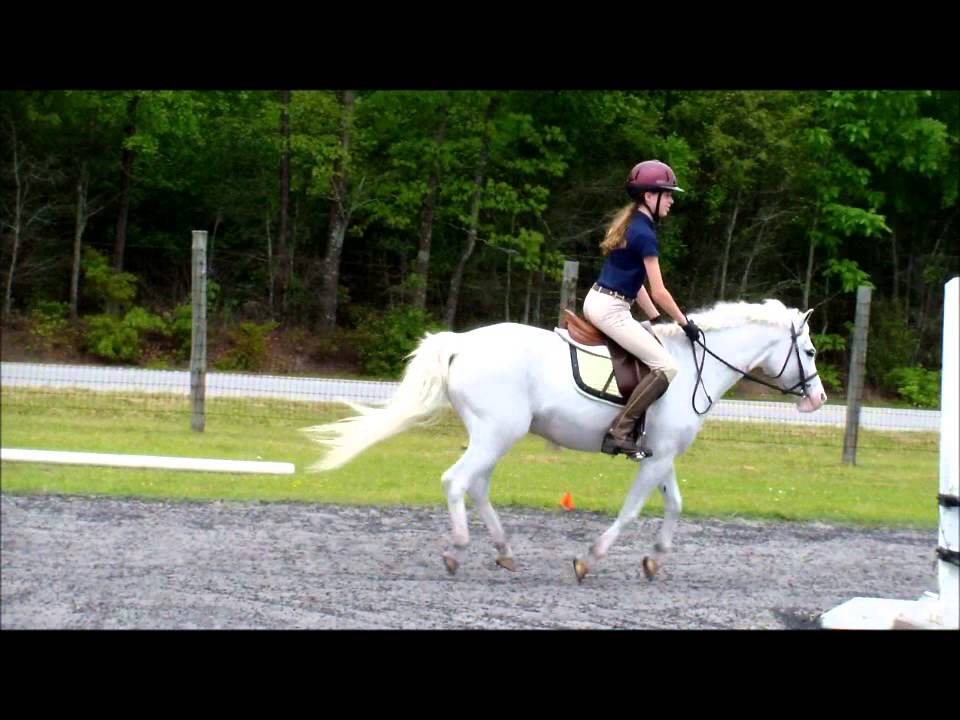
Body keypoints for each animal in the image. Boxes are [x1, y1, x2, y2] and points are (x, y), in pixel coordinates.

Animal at [302, 299, 827, 582]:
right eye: (808, 350)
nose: (818, 399)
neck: (694, 367)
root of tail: (462, 342)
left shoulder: (662, 455)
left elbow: (675, 504)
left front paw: (654, 560)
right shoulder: (656, 458)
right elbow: (632, 510)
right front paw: (588, 560)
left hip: (492, 435)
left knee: (477, 486)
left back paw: (504, 551)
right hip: (497, 433)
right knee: (457, 482)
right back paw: (457, 550)